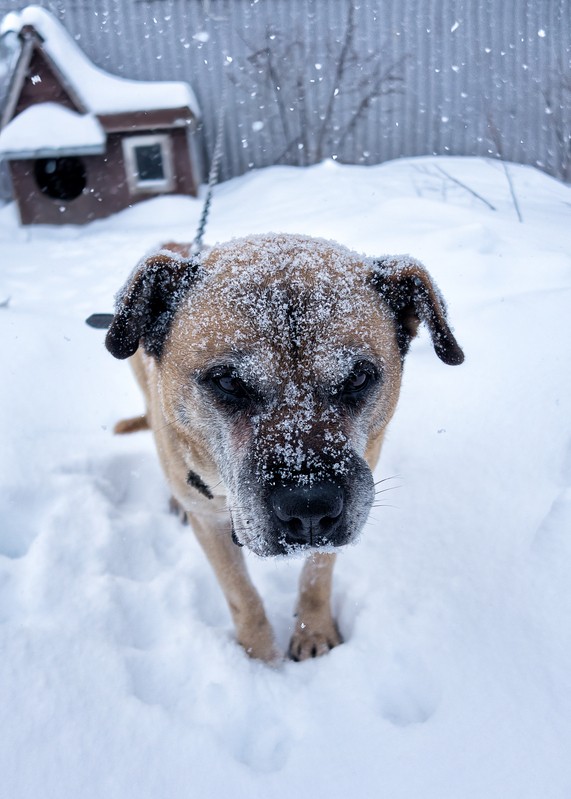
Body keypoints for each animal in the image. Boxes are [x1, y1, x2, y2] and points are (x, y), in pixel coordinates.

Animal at [100, 234, 462, 664]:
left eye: (358, 377)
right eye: (227, 381)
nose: (309, 506)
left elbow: (317, 574)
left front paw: (314, 631)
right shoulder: (210, 522)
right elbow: (241, 594)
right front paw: (260, 657)